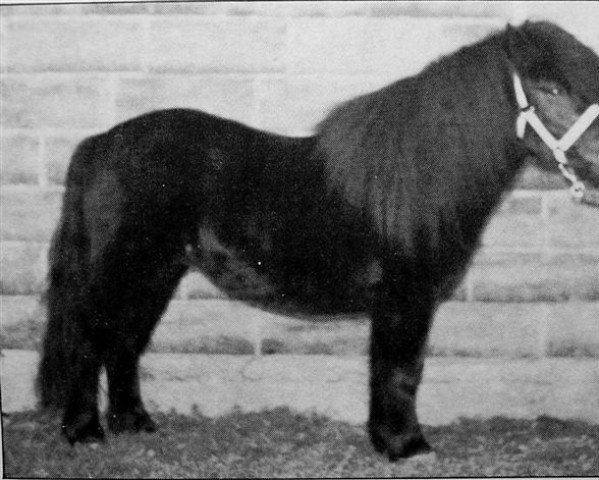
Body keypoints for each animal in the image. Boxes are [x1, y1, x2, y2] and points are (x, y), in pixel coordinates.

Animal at [37, 20, 599, 460]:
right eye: (548, 89)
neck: (416, 180)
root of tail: (99, 144)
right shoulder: (405, 301)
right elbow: (401, 371)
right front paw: (406, 447)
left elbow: (391, 371)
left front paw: (389, 441)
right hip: (121, 271)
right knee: (89, 340)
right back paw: (86, 433)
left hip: (155, 274)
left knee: (124, 343)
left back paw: (137, 425)